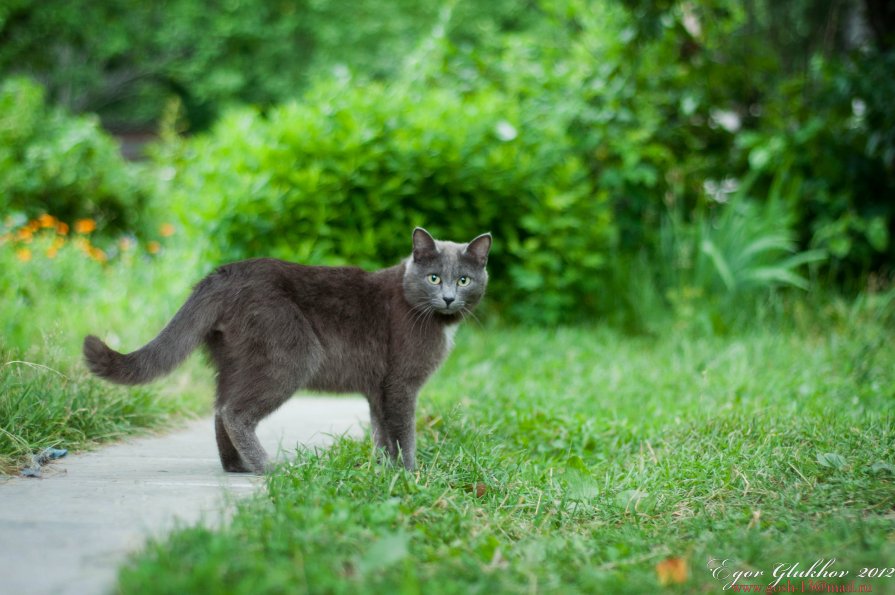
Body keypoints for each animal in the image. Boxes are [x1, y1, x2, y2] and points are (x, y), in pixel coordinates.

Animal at [82, 228, 490, 474]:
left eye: (464, 280)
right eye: (434, 278)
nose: (449, 297)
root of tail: (223, 274)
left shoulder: (379, 387)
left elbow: (381, 431)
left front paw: (383, 470)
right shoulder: (401, 384)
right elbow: (403, 431)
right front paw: (409, 473)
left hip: (232, 361)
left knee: (219, 409)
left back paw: (237, 466)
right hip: (291, 356)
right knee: (233, 412)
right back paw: (267, 466)